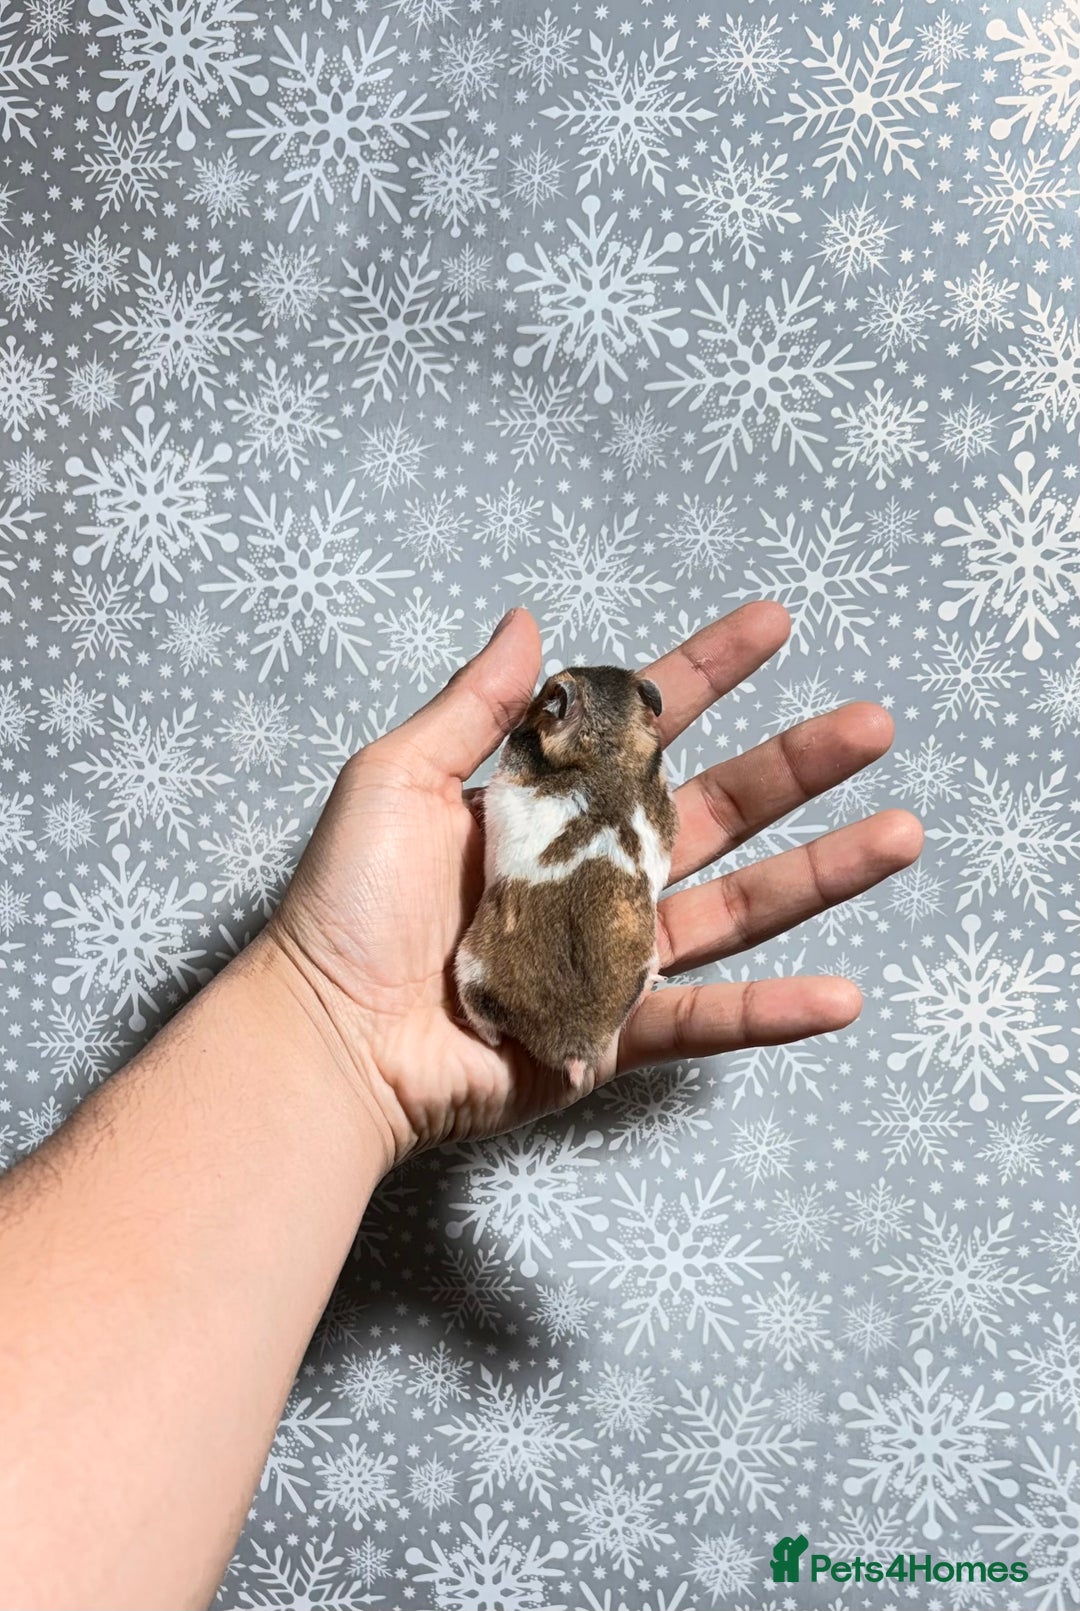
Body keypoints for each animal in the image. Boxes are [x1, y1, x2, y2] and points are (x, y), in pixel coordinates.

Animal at [453, 664, 679, 1092]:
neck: (606, 751)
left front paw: (472, 799)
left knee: (487, 1030)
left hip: (469, 971)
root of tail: (573, 1045)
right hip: (642, 961)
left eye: (544, 695)